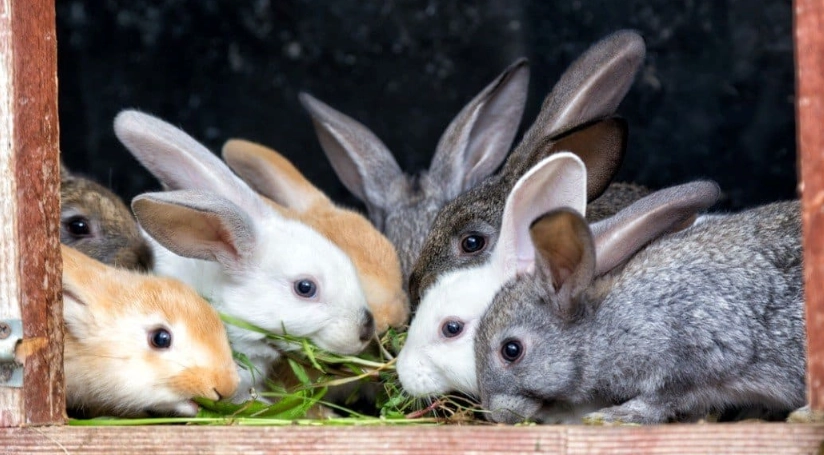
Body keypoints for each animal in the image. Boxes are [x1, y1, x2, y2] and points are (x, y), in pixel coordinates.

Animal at [475, 184, 806, 425]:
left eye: (511, 350)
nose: (495, 415)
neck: (602, 325)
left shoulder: (691, 357)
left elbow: (661, 400)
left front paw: (614, 416)